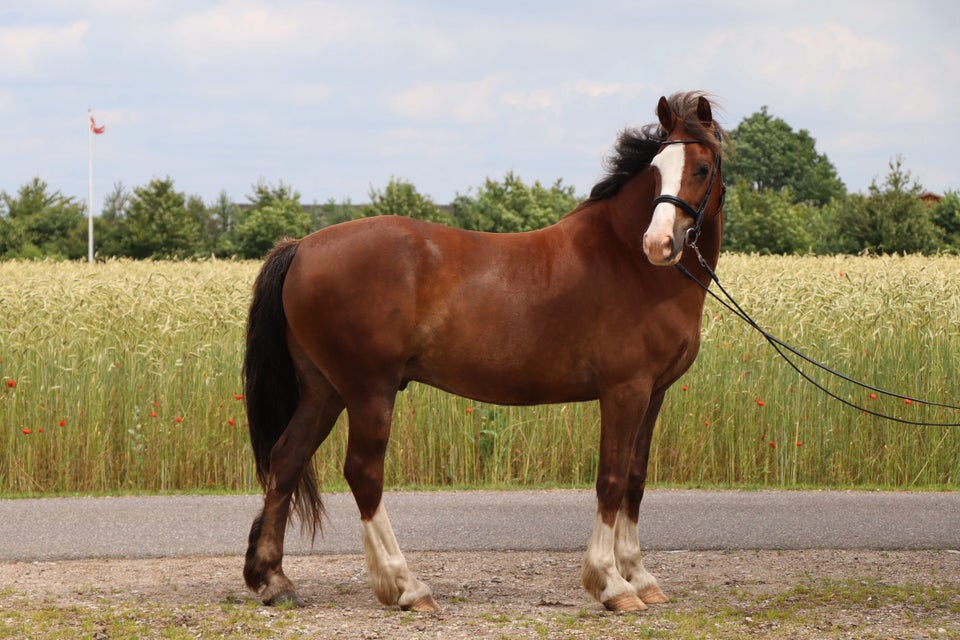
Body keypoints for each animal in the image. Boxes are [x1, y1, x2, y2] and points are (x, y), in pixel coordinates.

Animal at [242, 92, 728, 612]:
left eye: (701, 168)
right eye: (657, 170)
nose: (658, 243)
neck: (626, 261)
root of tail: (302, 247)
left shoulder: (653, 393)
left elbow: (635, 479)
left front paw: (640, 577)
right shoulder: (624, 390)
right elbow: (612, 479)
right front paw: (611, 583)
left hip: (324, 391)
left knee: (287, 458)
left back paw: (274, 580)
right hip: (368, 390)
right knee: (363, 472)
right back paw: (406, 585)